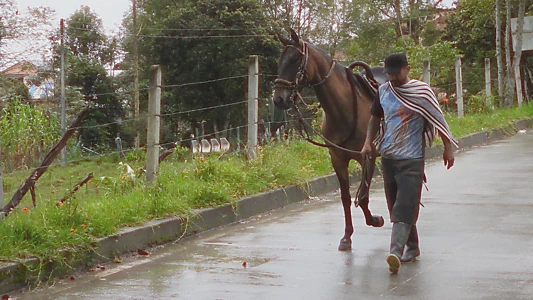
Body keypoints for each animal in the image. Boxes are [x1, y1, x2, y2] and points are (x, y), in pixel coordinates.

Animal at [274, 29, 386, 251]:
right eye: (280, 60)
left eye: (294, 59)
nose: (278, 98)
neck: (347, 110)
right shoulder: (337, 159)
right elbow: (345, 197)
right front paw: (347, 237)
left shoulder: (366, 158)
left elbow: (363, 196)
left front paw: (375, 220)